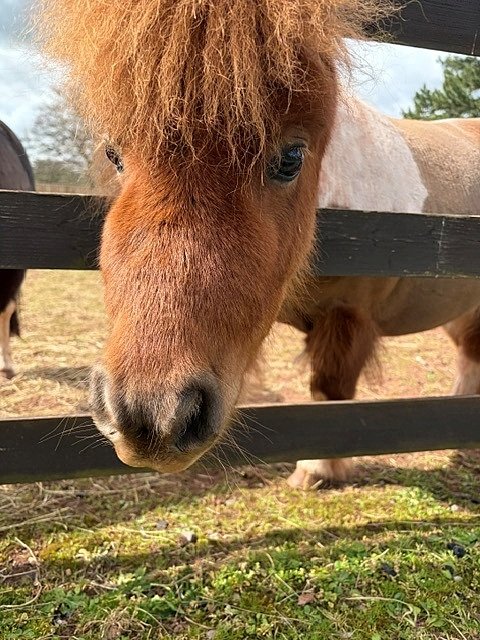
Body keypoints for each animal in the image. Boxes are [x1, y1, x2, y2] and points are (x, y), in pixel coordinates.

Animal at [38, 0, 480, 488]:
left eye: (291, 158)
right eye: (113, 154)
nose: (152, 416)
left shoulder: (348, 316)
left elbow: (330, 391)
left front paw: (318, 469)